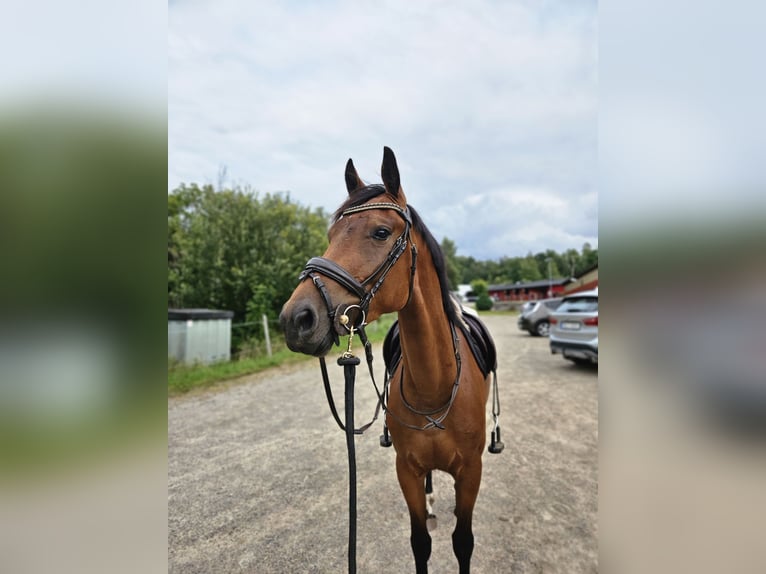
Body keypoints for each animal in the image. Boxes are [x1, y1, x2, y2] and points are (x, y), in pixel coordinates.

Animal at [280, 147, 500, 574]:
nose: (296, 319)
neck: (434, 387)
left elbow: (463, 542)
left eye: (381, 232)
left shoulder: (471, 473)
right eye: (331, 236)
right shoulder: (407, 470)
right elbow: (420, 542)